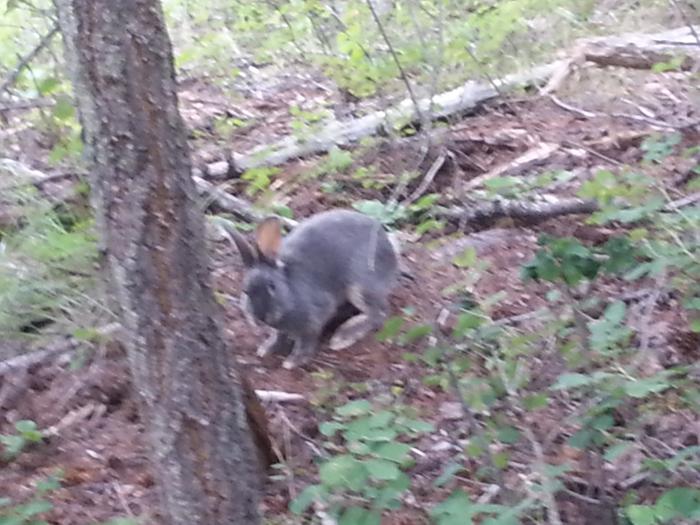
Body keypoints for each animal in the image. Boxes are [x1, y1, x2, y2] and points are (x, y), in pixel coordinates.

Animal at [226, 209, 400, 368]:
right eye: (245, 291)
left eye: (272, 286)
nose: (260, 317)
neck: (289, 289)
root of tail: (390, 249)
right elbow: (278, 335)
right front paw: (266, 349)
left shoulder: (316, 316)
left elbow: (306, 340)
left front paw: (293, 361)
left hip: (360, 287)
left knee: (379, 313)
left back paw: (343, 336)